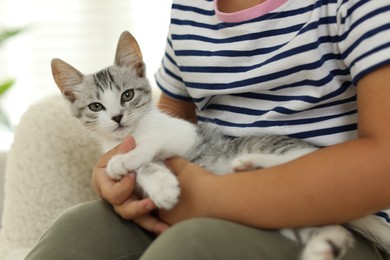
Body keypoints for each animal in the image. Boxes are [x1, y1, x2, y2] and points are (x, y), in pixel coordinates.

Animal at [51, 31, 390, 260]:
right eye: (95, 107)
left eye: (127, 95)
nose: (118, 117)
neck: (130, 134)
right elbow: (147, 167)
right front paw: (159, 183)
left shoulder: (184, 134)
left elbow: (152, 145)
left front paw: (127, 161)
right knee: (334, 230)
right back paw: (321, 248)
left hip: (290, 160)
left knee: (296, 164)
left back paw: (250, 164)